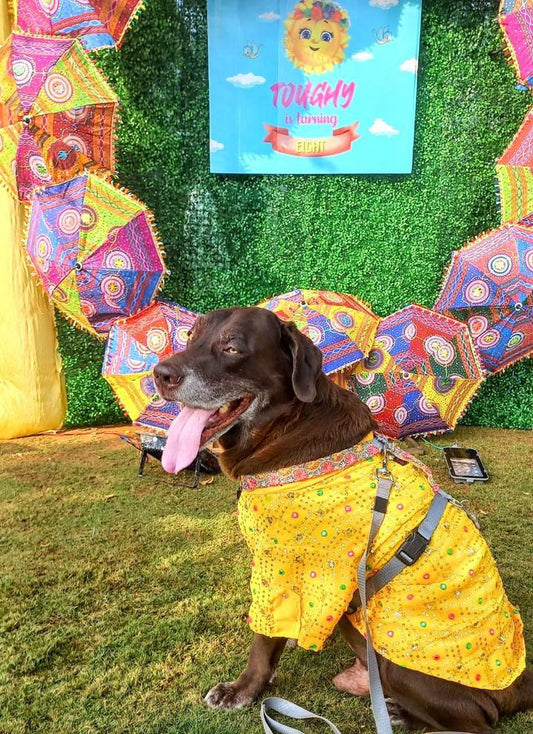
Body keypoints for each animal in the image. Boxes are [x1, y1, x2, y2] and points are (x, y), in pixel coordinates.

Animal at [154, 308, 532, 734]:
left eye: (232, 347)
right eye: (190, 336)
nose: (160, 373)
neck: (286, 427)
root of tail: (521, 684)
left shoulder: (280, 569)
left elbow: (263, 642)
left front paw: (241, 691)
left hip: (398, 663)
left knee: (478, 720)